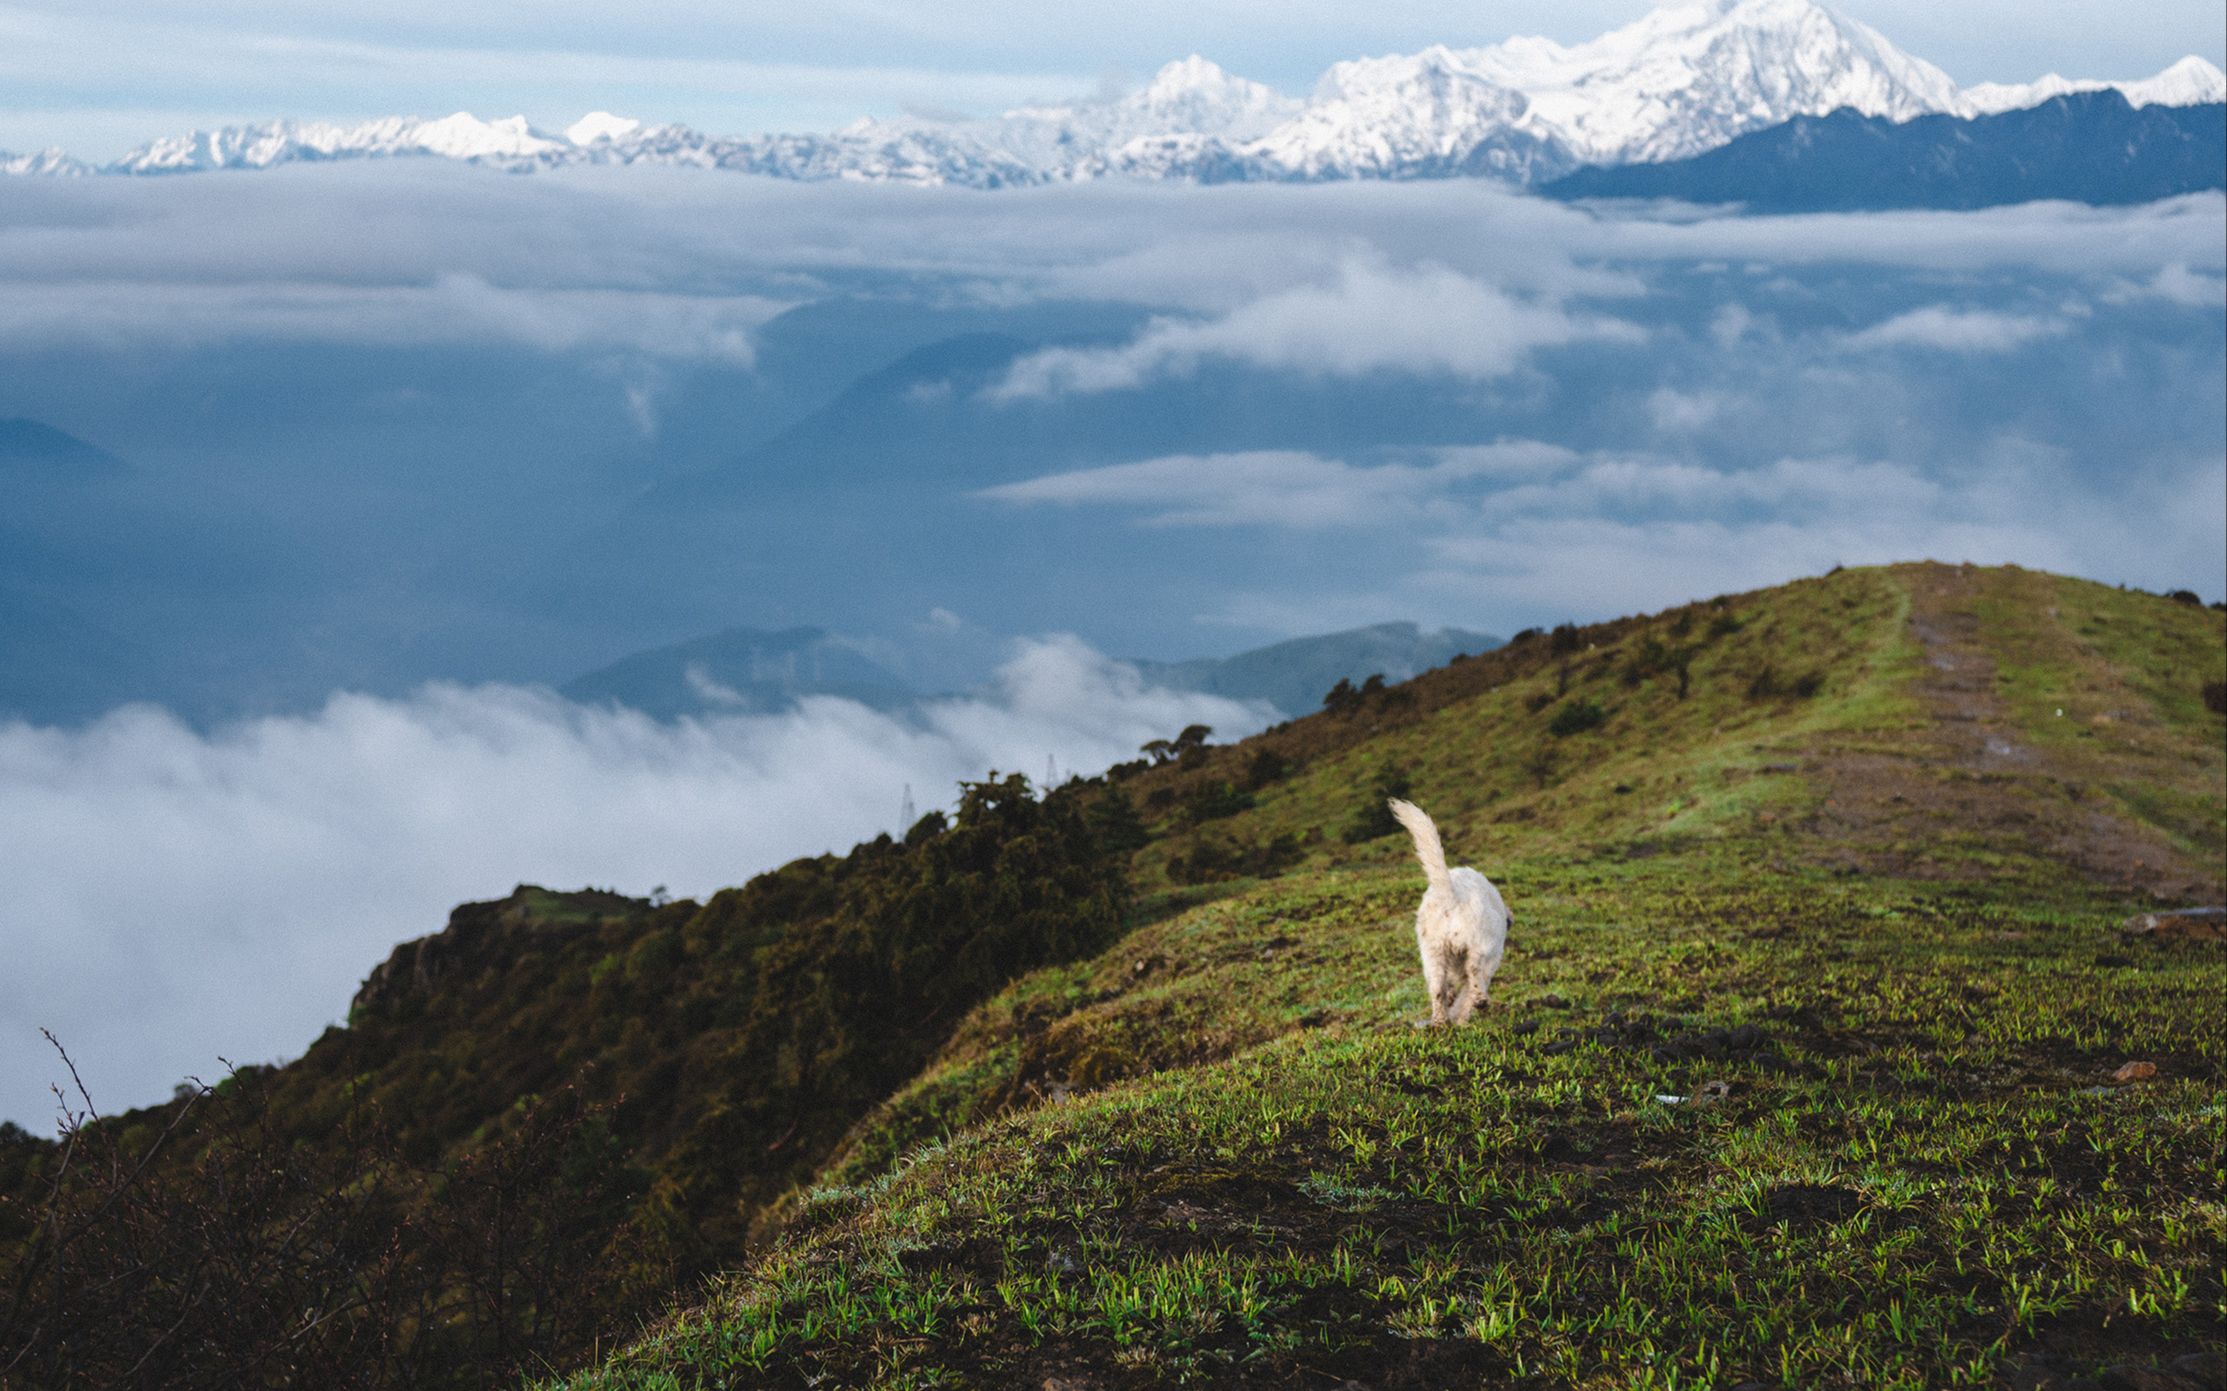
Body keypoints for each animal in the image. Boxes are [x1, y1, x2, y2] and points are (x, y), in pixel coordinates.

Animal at [1389, 796, 1514, 1023]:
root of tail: (1451, 895)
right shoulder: (1491, 958)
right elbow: (1468, 992)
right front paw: (1465, 1015)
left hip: (1433, 953)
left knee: (1437, 988)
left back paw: (1440, 1021)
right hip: (1478, 945)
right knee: (1473, 972)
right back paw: (1479, 1002)